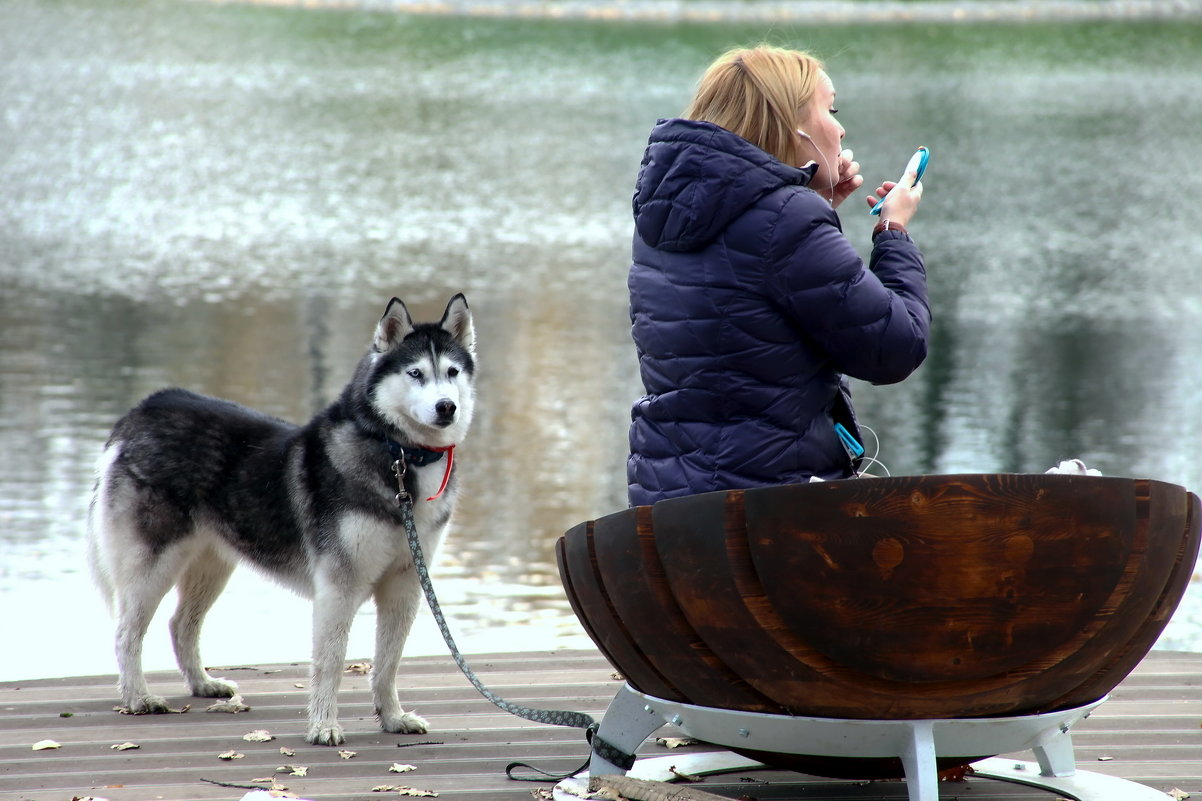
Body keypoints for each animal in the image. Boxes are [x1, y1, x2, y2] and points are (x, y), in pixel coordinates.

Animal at [85, 293, 473, 740]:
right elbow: (331, 662)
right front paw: (323, 726)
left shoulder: (405, 583)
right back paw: (137, 697)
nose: (447, 406)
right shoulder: (339, 587)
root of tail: (143, 409)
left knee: (181, 625)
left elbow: (388, 663)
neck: (400, 457)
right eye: (415, 373)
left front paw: (393, 717)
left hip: (211, 564)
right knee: (126, 633)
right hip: (153, 564)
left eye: (452, 372)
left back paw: (203, 684)